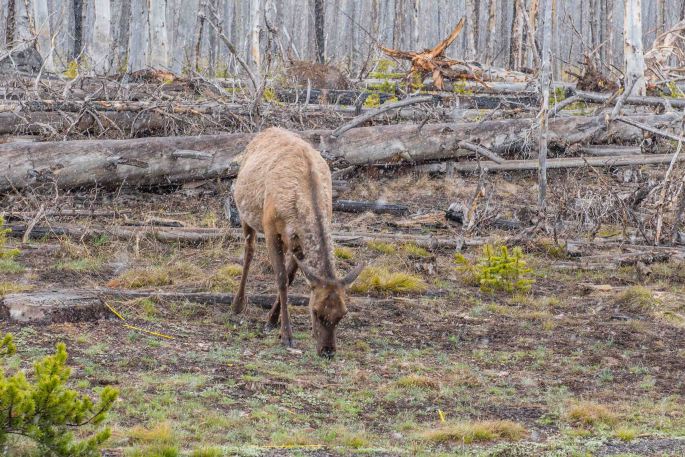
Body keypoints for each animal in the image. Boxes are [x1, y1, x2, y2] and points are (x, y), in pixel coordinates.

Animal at [231, 127, 363, 358]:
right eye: (316, 312)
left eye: (342, 314)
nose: (328, 351)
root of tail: (267, 130)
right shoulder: (270, 228)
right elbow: (281, 279)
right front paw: (285, 334)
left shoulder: (297, 242)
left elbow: (291, 277)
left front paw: (273, 319)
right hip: (245, 214)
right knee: (249, 252)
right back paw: (237, 305)